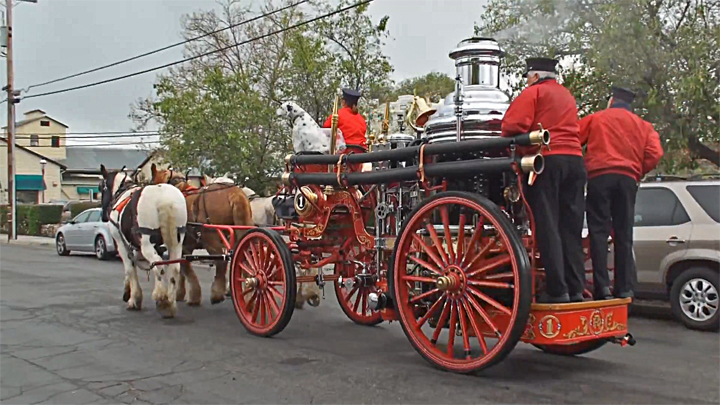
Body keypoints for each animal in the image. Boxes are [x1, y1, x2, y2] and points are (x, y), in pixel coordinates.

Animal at [101, 163, 191, 318]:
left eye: (101, 187)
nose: (102, 215)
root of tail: (165, 199)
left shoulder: (121, 243)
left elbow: (130, 268)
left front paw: (134, 298)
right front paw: (128, 291)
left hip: (146, 243)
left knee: (158, 265)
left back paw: (163, 300)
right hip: (176, 242)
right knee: (173, 267)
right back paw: (170, 302)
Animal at [150, 163, 255, 304]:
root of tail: (234, 193)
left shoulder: (182, 245)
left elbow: (185, 268)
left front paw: (189, 295)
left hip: (210, 238)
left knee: (221, 261)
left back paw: (217, 293)